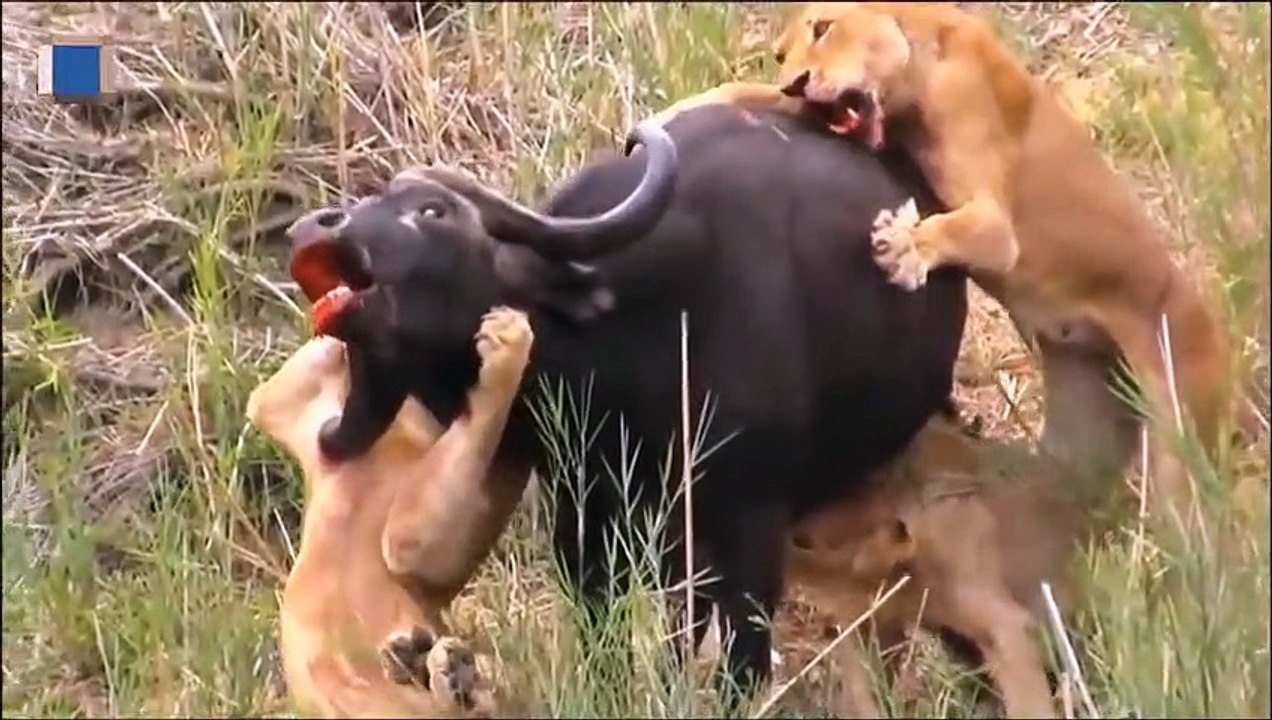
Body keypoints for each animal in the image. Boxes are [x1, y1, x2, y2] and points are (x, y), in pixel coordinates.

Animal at [284, 106, 969, 697]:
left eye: (434, 211)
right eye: (370, 200)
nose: (315, 226)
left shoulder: (752, 518)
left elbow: (743, 657)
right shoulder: (583, 510)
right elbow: (602, 626)